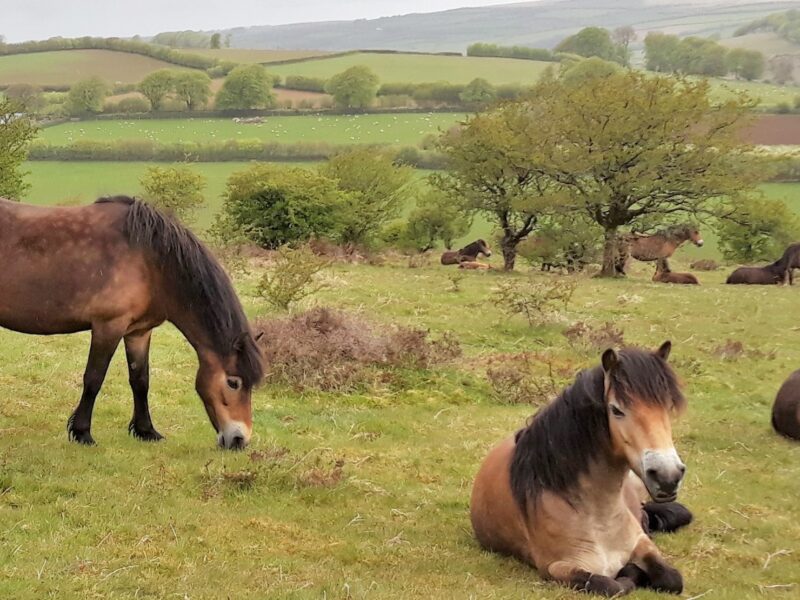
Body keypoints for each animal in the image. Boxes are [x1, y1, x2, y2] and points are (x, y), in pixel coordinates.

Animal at [0, 197, 264, 450]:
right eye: (233, 382)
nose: (240, 440)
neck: (150, 263)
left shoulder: (138, 331)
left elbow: (140, 380)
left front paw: (146, 431)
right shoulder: (108, 326)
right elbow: (94, 379)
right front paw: (82, 433)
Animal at [472, 342, 692, 596]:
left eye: (667, 406)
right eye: (616, 410)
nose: (668, 476)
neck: (598, 519)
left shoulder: (641, 543)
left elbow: (672, 578)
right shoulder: (556, 567)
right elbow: (610, 584)